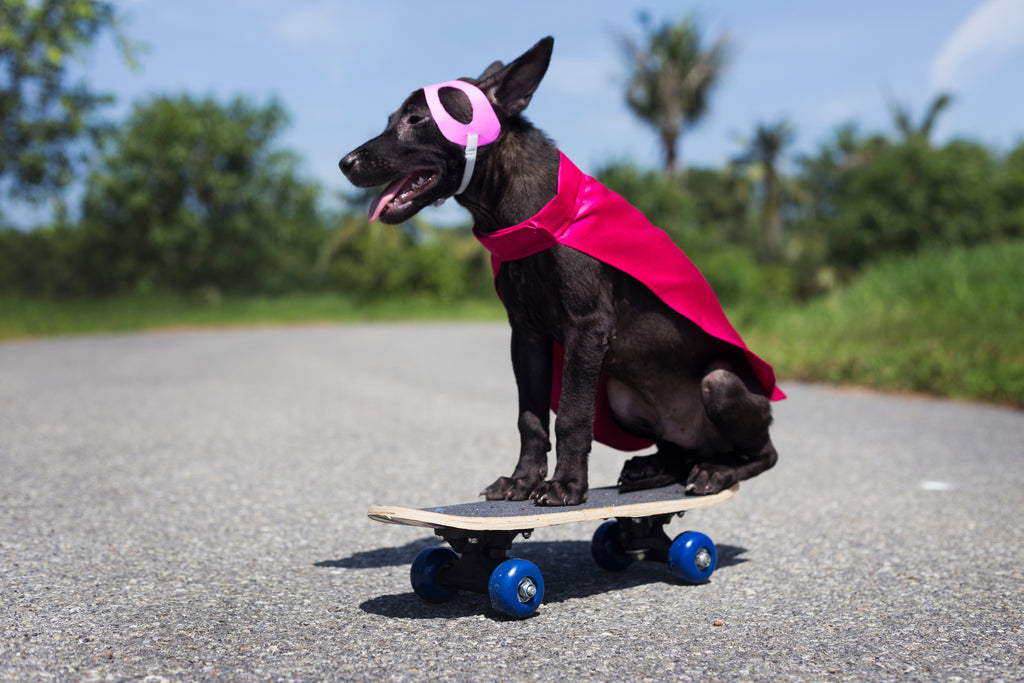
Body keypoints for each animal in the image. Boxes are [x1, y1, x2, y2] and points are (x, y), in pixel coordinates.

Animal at [339, 38, 778, 507]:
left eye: (417, 119)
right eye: (392, 119)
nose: (345, 163)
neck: (532, 218)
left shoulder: (586, 330)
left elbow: (570, 415)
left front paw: (566, 484)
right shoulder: (526, 336)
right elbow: (530, 419)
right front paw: (522, 480)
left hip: (720, 383)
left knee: (762, 453)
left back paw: (715, 472)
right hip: (622, 398)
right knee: (680, 452)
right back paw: (653, 468)